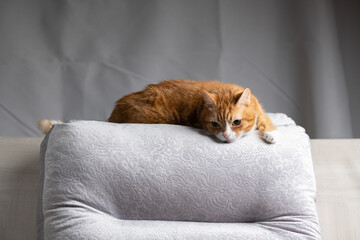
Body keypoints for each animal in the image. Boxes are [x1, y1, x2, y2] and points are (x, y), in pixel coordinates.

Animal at [38, 79, 278, 143]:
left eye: (236, 122)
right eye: (215, 125)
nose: (227, 135)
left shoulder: (260, 110)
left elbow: (265, 119)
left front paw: (271, 133)